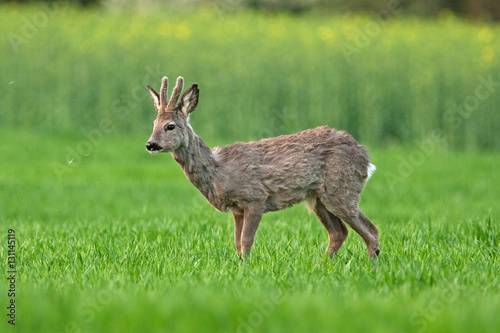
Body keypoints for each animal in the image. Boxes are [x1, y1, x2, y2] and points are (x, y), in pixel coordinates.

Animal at [145, 76, 378, 258]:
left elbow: (246, 242)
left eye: (170, 126)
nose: (150, 144)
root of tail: (365, 158)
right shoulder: (237, 209)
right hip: (318, 198)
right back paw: (321, 265)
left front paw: (245, 268)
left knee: (371, 231)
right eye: (153, 124)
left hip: (341, 190)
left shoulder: (255, 198)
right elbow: (237, 243)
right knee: (339, 232)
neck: (219, 170)